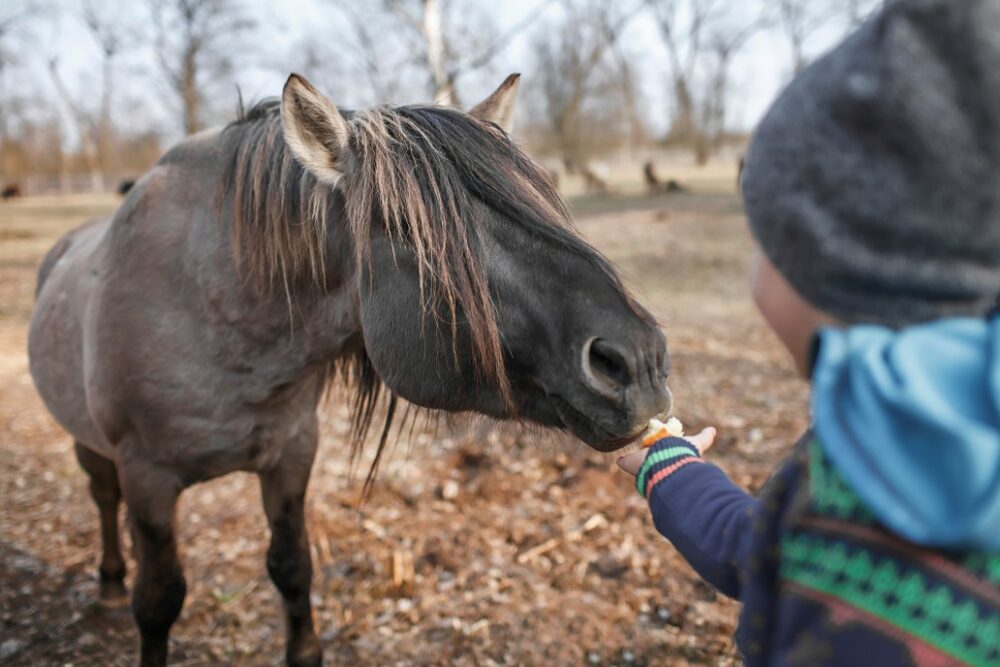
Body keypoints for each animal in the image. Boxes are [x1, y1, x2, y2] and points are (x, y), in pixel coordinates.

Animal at [29, 73, 672, 667]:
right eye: (415, 231)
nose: (639, 361)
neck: (214, 311)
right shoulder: (149, 478)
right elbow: (159, 601)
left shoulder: (291, 454)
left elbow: (293, 568)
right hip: (94, 446)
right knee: (102, 497)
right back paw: (110, 584)